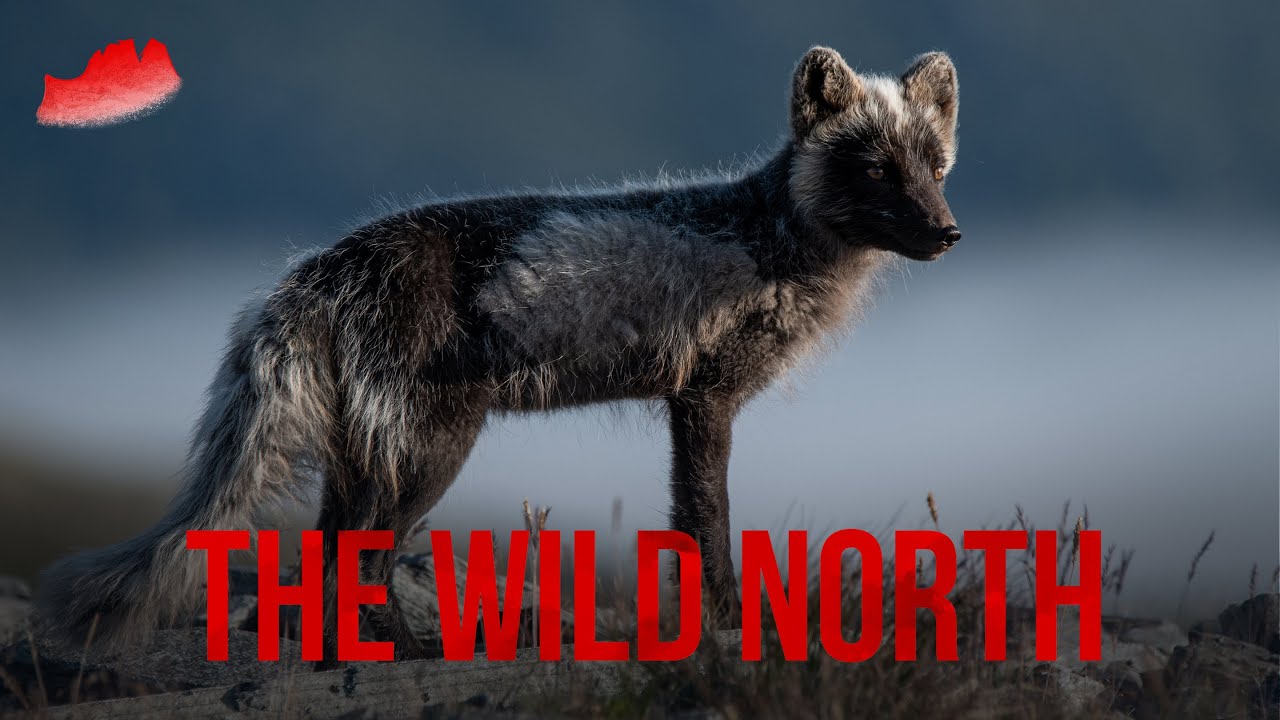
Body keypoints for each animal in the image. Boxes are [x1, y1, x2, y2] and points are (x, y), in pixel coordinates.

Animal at [37, 46, 961, 658]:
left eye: (937, 165)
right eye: (877, 169)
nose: (951, 233)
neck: (764, 235)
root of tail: (322, 269)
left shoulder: (690, 402)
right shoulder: (703, 399)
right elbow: (707, 524)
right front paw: (732, 628)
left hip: (364, 460)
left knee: (321, 569)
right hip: (428, 453)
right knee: (354, 567)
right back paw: (408, 654)